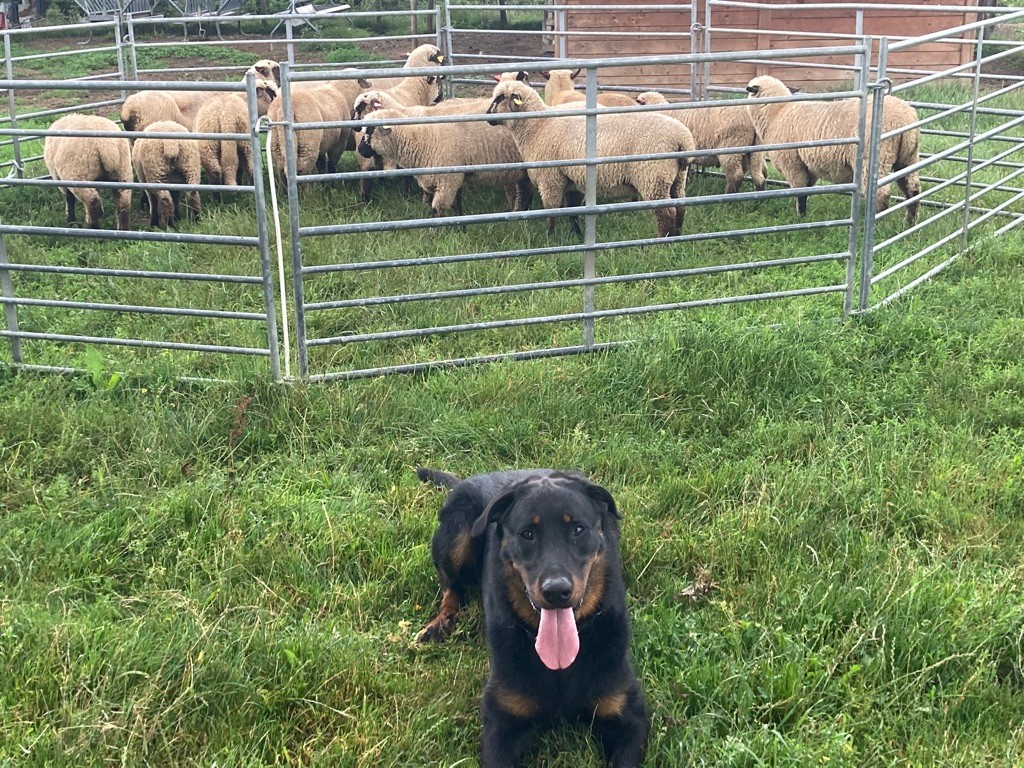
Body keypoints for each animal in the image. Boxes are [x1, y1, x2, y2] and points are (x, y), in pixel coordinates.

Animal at [356, 100, 532, 218]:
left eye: (370, 131)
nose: (360, 150)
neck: (421, 137)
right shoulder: (454, 175)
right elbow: (456, 205)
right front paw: (461, 226)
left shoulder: (448, 177)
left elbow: (438, 210)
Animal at [415, 468, 647, 768]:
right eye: (527, 534)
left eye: (578, 529)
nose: (556, 591)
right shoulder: (501, 721)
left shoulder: (629, 718)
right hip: (457, 529)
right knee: (450, 585)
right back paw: (440, 623)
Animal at [485, 79, 696, 237]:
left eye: (500, 98)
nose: (487, 117)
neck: (538, 127)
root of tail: (682, 138)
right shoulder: (572, 179)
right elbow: (572, 210)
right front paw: (577, 234)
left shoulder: (550, 179)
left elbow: (551, 211)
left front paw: (549, 236)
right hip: (676, 178)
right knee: (681, 207)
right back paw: (676, 238)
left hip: (652, 177)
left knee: (666, 213)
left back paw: (662, 243)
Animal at [741, 75, 925, 222]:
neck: (777, 113)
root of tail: (906, 117)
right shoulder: (808, 166)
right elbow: (806, 191)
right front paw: (804, 215)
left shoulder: (792, 164)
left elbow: (800, 192)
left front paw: (800, 217)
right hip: (907, 156)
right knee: (913, 188)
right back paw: (910, 221)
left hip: (875, 159)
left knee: (882, 194)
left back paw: (877, 223)